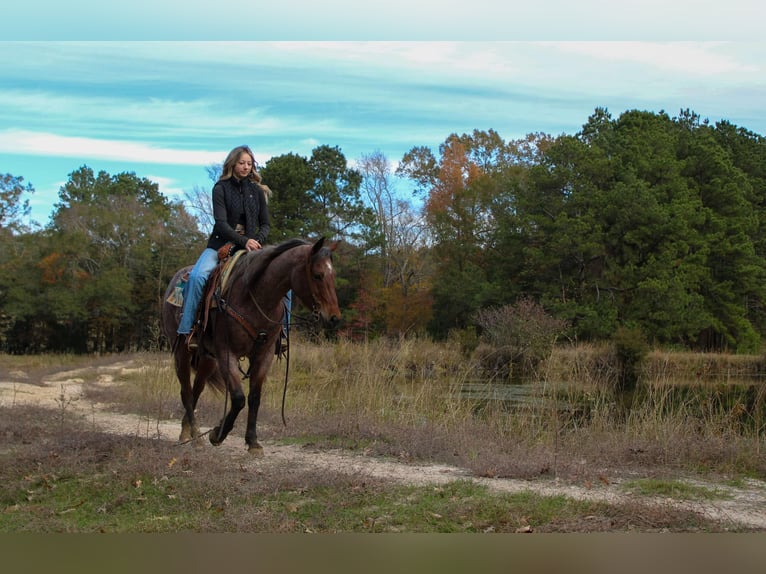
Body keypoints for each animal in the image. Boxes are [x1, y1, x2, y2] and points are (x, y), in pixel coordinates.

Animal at [161, 237, 341, 455]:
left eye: (333, 275)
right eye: (317, 275)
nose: (334, 318)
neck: (255, 298)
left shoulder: (264, 355)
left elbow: (255, 397)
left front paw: (253, 442)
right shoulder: (226, 353)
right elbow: (238, 398)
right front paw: (217, 434)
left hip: (207, 360)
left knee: (196, 390)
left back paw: (187, 432)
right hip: (182, 352)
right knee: (186, 392)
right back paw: (195, 436)